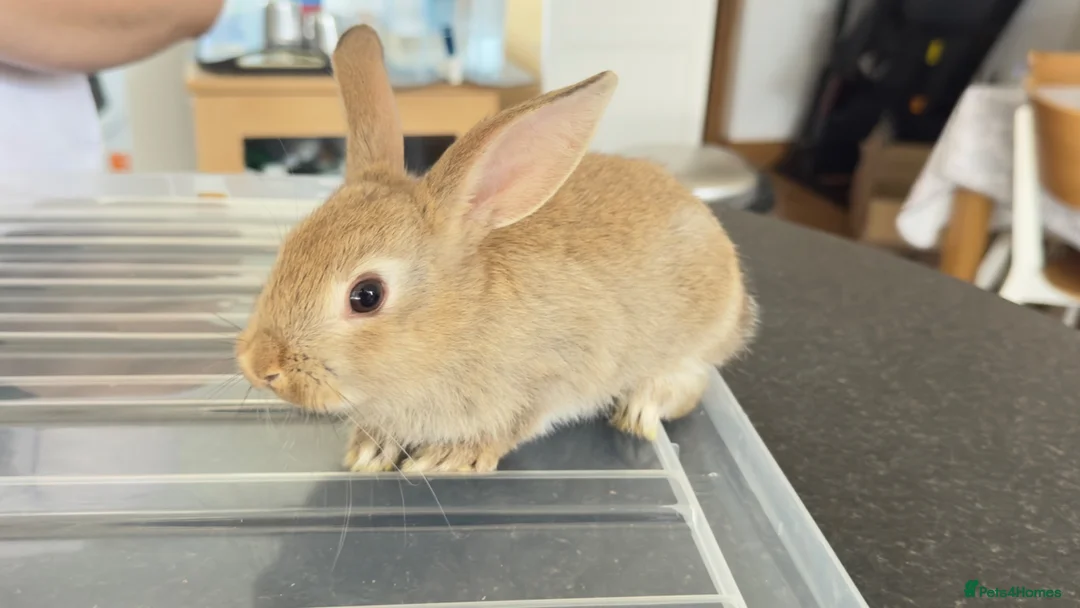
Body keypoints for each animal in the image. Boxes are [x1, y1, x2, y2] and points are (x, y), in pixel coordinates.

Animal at [235, 25, 758, 473]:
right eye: (288, 249)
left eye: (366, 296)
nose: (259, 367)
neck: (456, 320)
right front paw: (372, 448)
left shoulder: (555, 374)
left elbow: (515, 424)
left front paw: (448, 457)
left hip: (693, 345)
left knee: (686, 386)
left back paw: (638, 410)